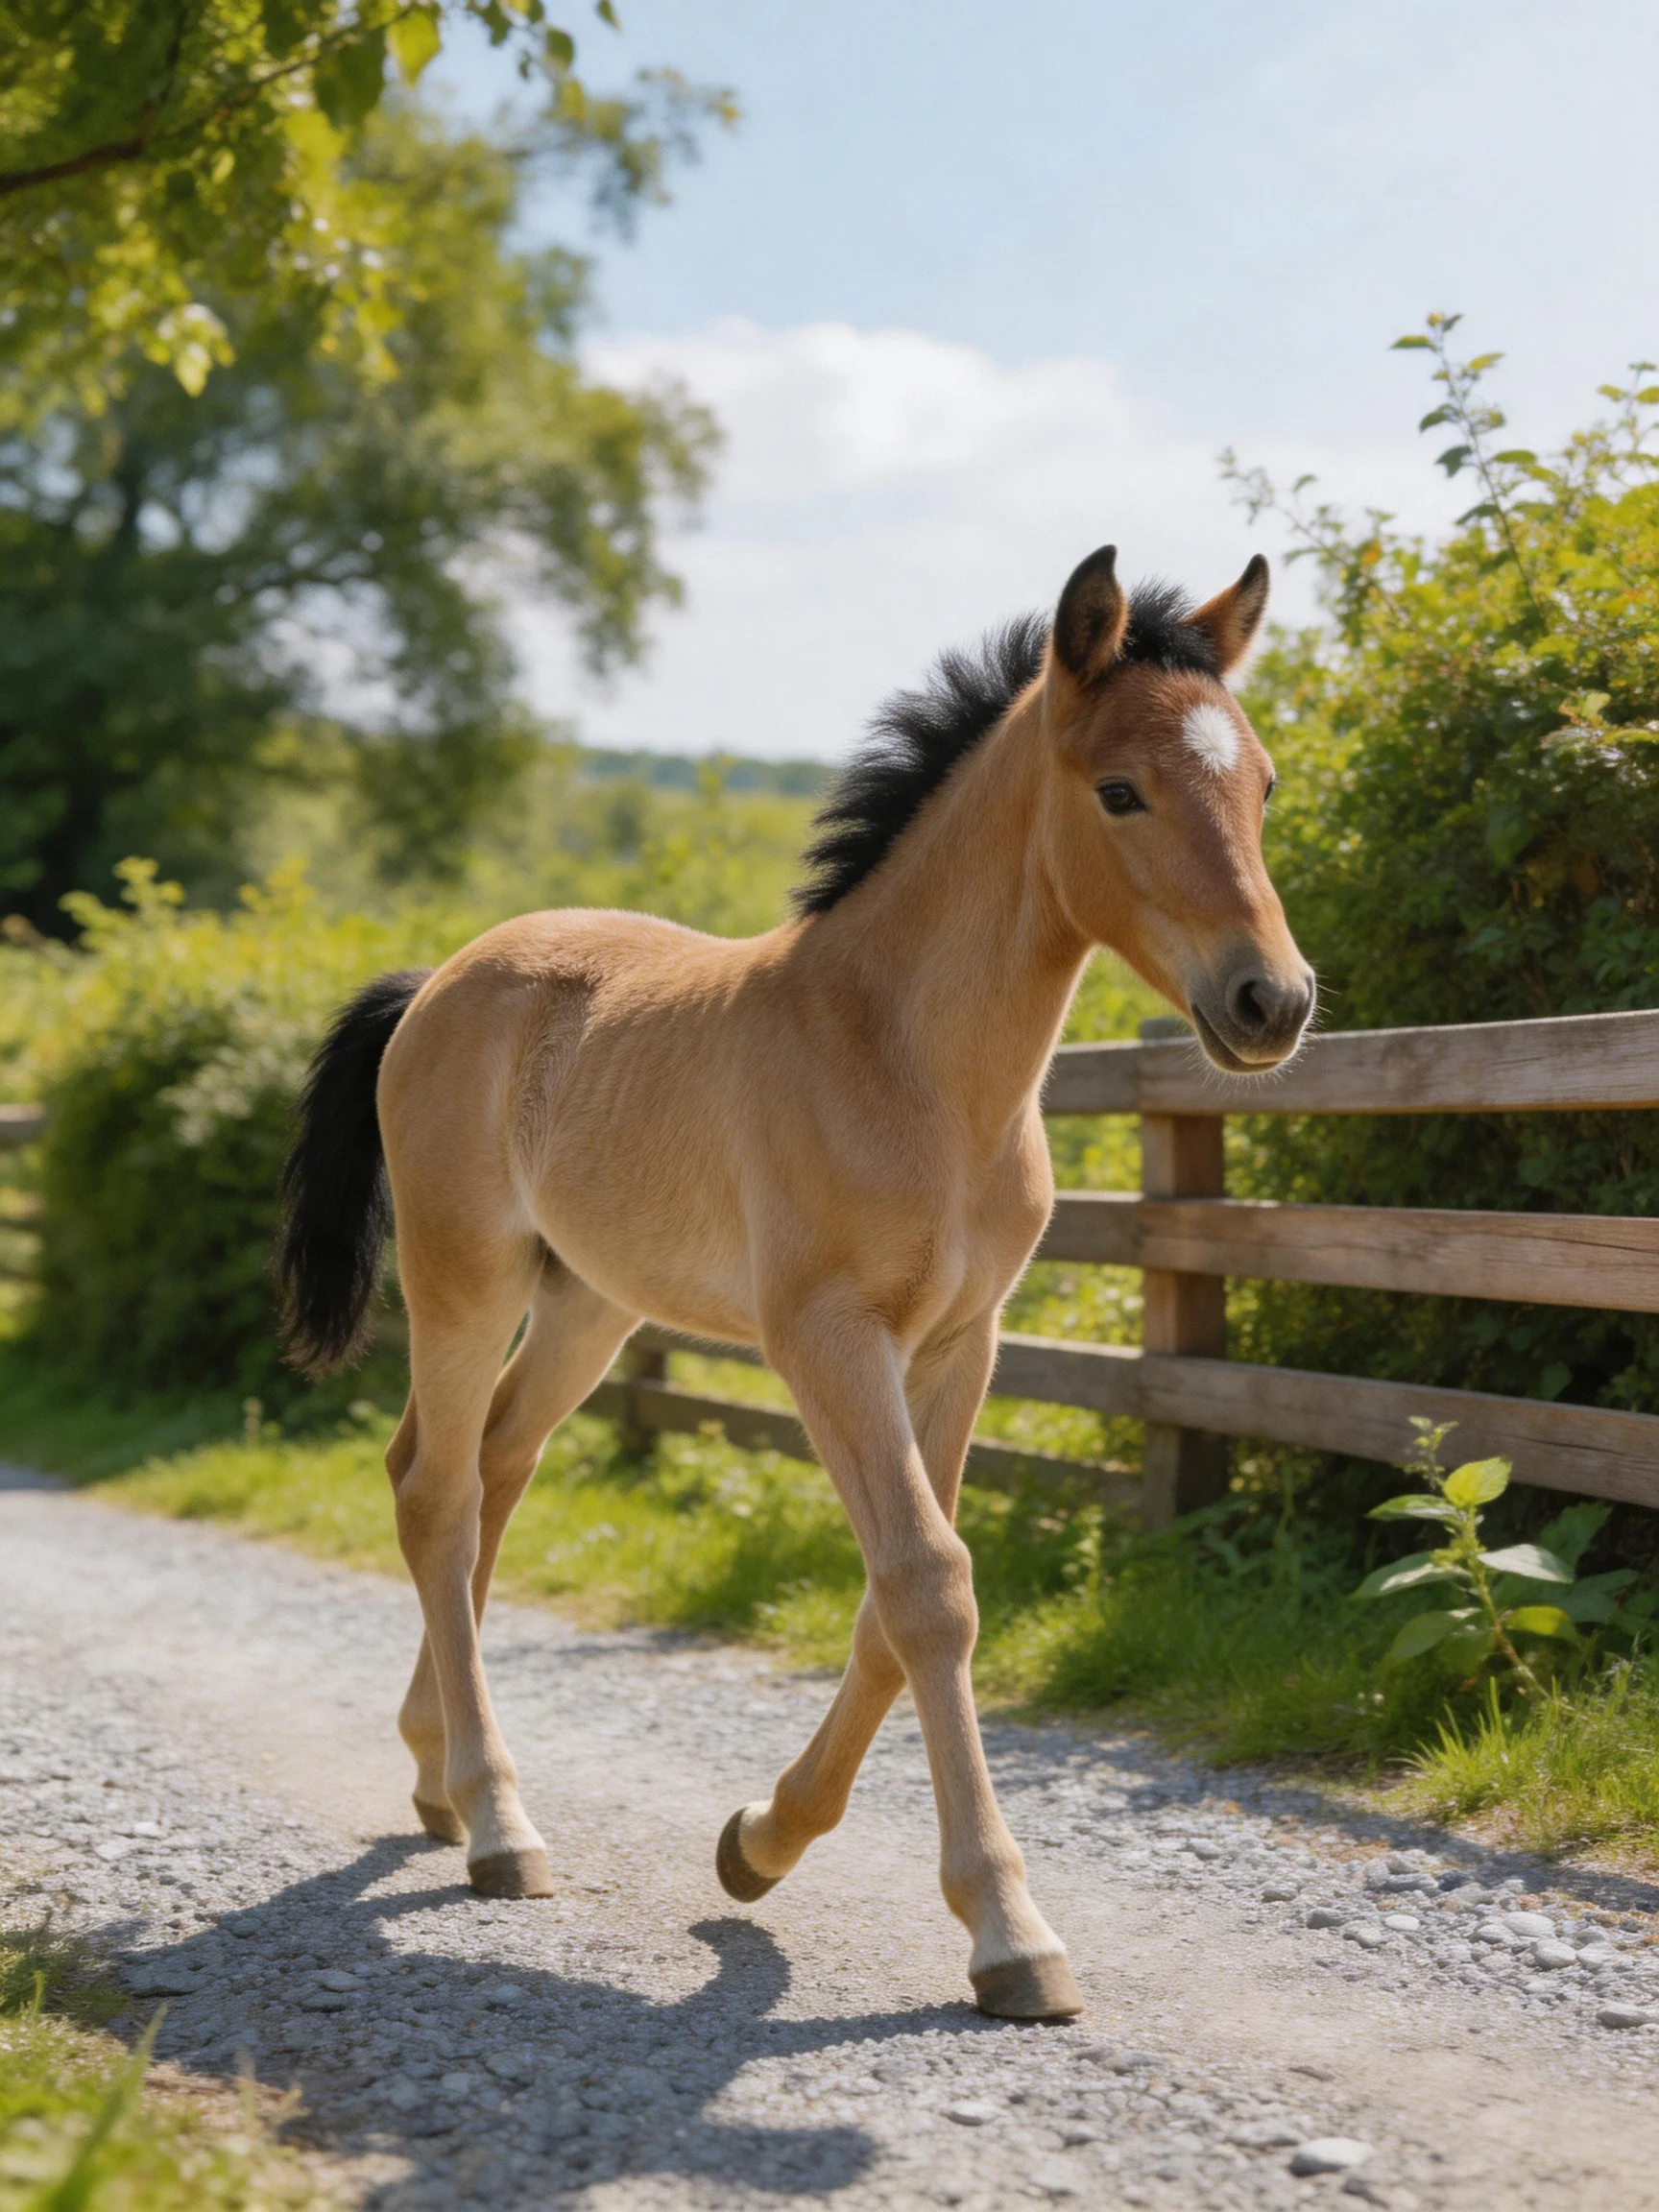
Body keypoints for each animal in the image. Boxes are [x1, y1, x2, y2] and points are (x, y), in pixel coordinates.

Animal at [276, 542, 1313, 2023]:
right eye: (1121, 790)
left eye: (1265, 785)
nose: (1271, 1003)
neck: (908, 1063)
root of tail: (439, 982)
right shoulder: (827, 1340)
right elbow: (929, 1586)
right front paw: (1009, 1933)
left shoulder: (963, 1344)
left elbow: (900, 1599)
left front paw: (758, 1845)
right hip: (463, 1275)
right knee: (434, 1492)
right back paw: (499, 1824)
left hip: (589, 1302)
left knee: (490, 1470)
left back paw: (435, 1778)